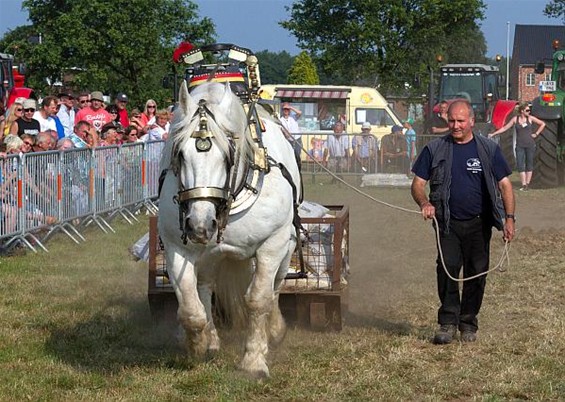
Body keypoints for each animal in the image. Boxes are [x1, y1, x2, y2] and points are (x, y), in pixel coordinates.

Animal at [156, 81, 302, 376]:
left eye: (227, 156)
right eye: (180, 154)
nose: (199, 225)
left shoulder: (274, 243)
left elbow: (259, 299)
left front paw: (254, 360)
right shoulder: (177, 246)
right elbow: (190, 307)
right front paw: (198, 346)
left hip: (287, 244)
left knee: (276, 285)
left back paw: (273, 330)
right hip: (210, 255)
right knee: (205, 286)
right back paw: (211, 339)